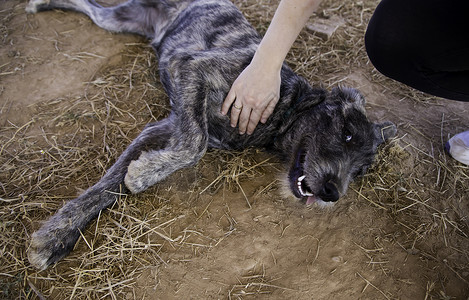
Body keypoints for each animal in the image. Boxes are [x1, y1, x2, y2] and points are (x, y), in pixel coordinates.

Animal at [24, 0, 394, 270]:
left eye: (361, 170)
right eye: (347, 134)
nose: (333, 194)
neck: (286, 109)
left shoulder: (165, 126)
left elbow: (117, 180)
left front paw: (59, 233)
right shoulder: (195, 70)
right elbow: (193, 145)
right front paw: (142, 175)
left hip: (117, 19)